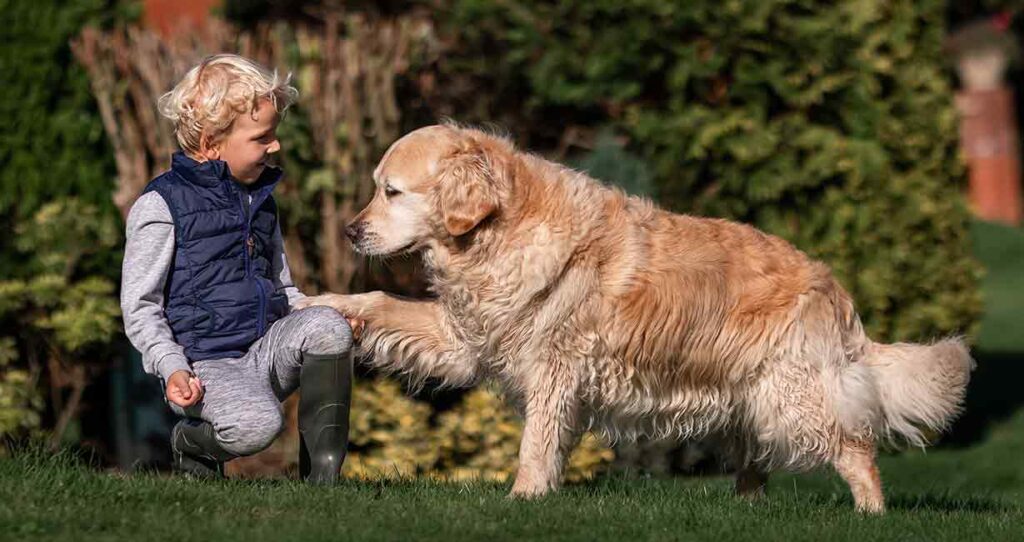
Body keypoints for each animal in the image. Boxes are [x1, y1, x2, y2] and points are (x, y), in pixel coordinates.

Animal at [299, 122, 974, 512]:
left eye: (391, 192)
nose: (351, 232)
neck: (498, 232)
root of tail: (836, 291)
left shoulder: (556, 366)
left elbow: (536, 441)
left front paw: (523, 498)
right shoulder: (463, 337)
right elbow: (378, 303)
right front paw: (316, 303)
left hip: (794, 393)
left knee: (856, 447)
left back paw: (871, 513)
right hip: (752, 397)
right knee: (757, 463)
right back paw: (743, 510)